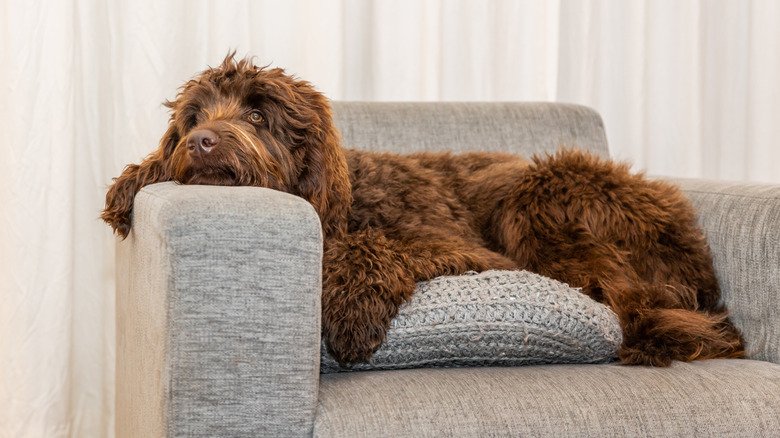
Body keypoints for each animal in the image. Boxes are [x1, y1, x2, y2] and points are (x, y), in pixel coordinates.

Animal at [102, 56, 744, 368]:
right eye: (192, 116)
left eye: (258, 115)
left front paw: (352, 309)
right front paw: (134, 179)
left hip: (540, 195)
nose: (201, 142)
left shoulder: (464, 247)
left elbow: (377, 245)